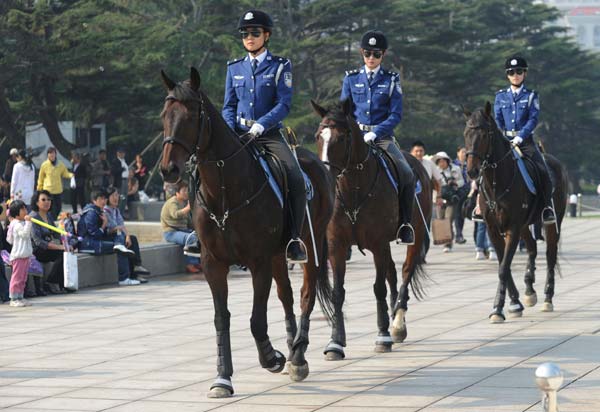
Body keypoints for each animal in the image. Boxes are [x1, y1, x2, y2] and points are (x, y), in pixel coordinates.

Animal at [159, 68, 336, 400]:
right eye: (165, 115)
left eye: (190, 116)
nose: (168, 170)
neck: (225, 191)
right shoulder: (213, 264)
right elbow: (221, 319)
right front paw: (222, 378)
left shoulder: (259, 262)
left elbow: (256, 320)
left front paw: (271, 357)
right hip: (280, 254)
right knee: (286, 296)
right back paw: (292, 349)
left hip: (311, 243)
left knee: (305, 295)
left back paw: (297, 356)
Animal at [310, 100, 432, 358]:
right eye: (318, 136)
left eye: (342, 137)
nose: (324, 173)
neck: (354, 189)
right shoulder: (337, 245)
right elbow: (338, 292)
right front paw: (335, 342)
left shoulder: (378, 243)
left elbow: (378, 288)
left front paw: (383, 336)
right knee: (393, 274)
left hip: (413, 236)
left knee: (405, 272)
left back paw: (397, 324)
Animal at [464, 102, 568, 322]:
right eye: (466, 133)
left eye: (484, 134)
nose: (471, 171)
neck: (496, 182)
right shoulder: (493, 228)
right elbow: (503, 264)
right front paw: (514, 303)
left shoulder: (512, 227)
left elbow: (504, 267)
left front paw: (498, 308)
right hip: (525, 226)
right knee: (532, 249)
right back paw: (530, 291)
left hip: (552, 223)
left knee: (550, 255)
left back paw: (547, 298)